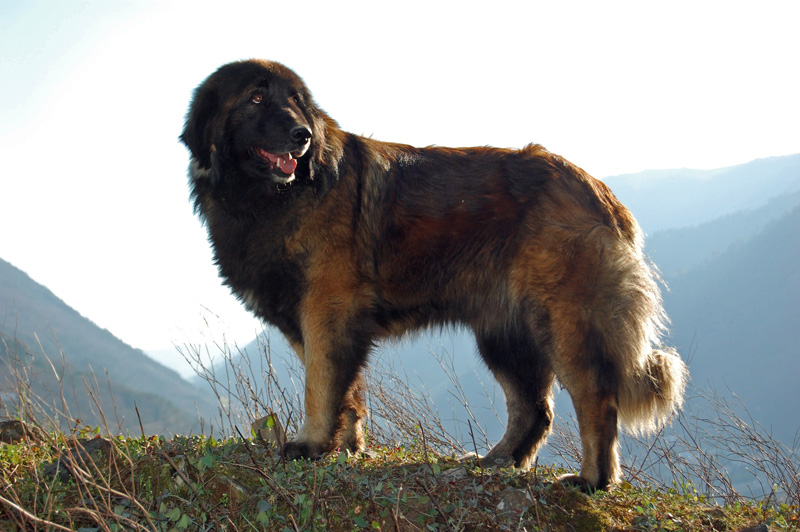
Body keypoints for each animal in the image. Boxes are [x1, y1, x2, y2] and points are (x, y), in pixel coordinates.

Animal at [183, 59, 688, 490]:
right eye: (255, 98)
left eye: (295, 101)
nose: (301, 135)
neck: (274, 198)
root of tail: (599, 191)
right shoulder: (321, 321)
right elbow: (345, 392)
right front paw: (346, 447)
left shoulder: (327, 310)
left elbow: (321, 385)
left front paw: (311, 444)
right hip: (506, 334)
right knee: (534, 409)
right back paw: (497, 460)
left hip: (565, 323)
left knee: (597, 398)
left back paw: (592, 481)